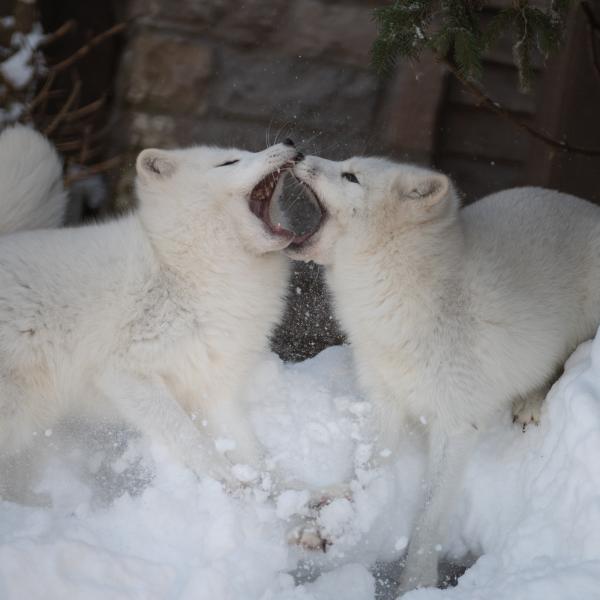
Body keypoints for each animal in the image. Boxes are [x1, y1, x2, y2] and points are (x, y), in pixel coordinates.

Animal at [0, 138, 302, 486]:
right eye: (229, 162)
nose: (290, 142)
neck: (181, 271)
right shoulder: (125, 374)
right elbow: (189, 439)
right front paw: (226, 482)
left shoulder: (212, 385)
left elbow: (251, 450)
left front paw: (280, 489)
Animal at [288, 154, 600, 592]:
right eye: (345, 166)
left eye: (351, 176)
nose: (297, 153)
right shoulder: (385, 402)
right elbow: (368, 472)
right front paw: (331, 521)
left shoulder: (456, 425)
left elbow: (429, 518)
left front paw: (415, 584)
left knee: (564, 363)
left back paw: (530, 401)